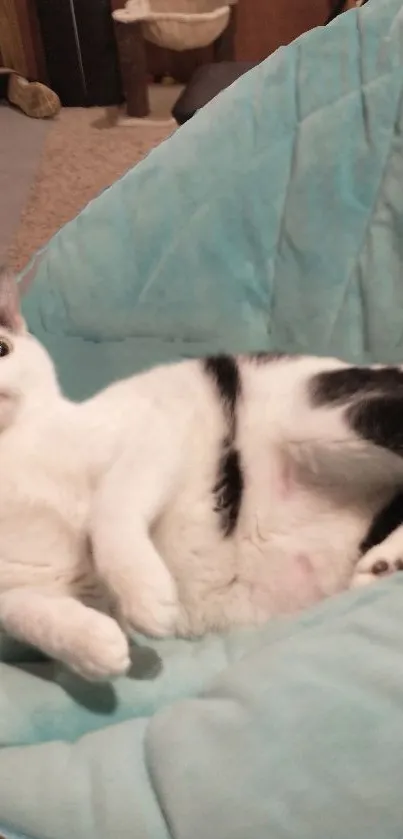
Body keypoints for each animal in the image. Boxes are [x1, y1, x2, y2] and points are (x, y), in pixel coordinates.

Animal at [0, 270, 403, 684]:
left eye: (2, 348)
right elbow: (21, 612)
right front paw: (93, 646)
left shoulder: (154, 436)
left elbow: (109, 510)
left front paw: (145, 594)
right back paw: (385, 565)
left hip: (321, 420)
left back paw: (386, 558)